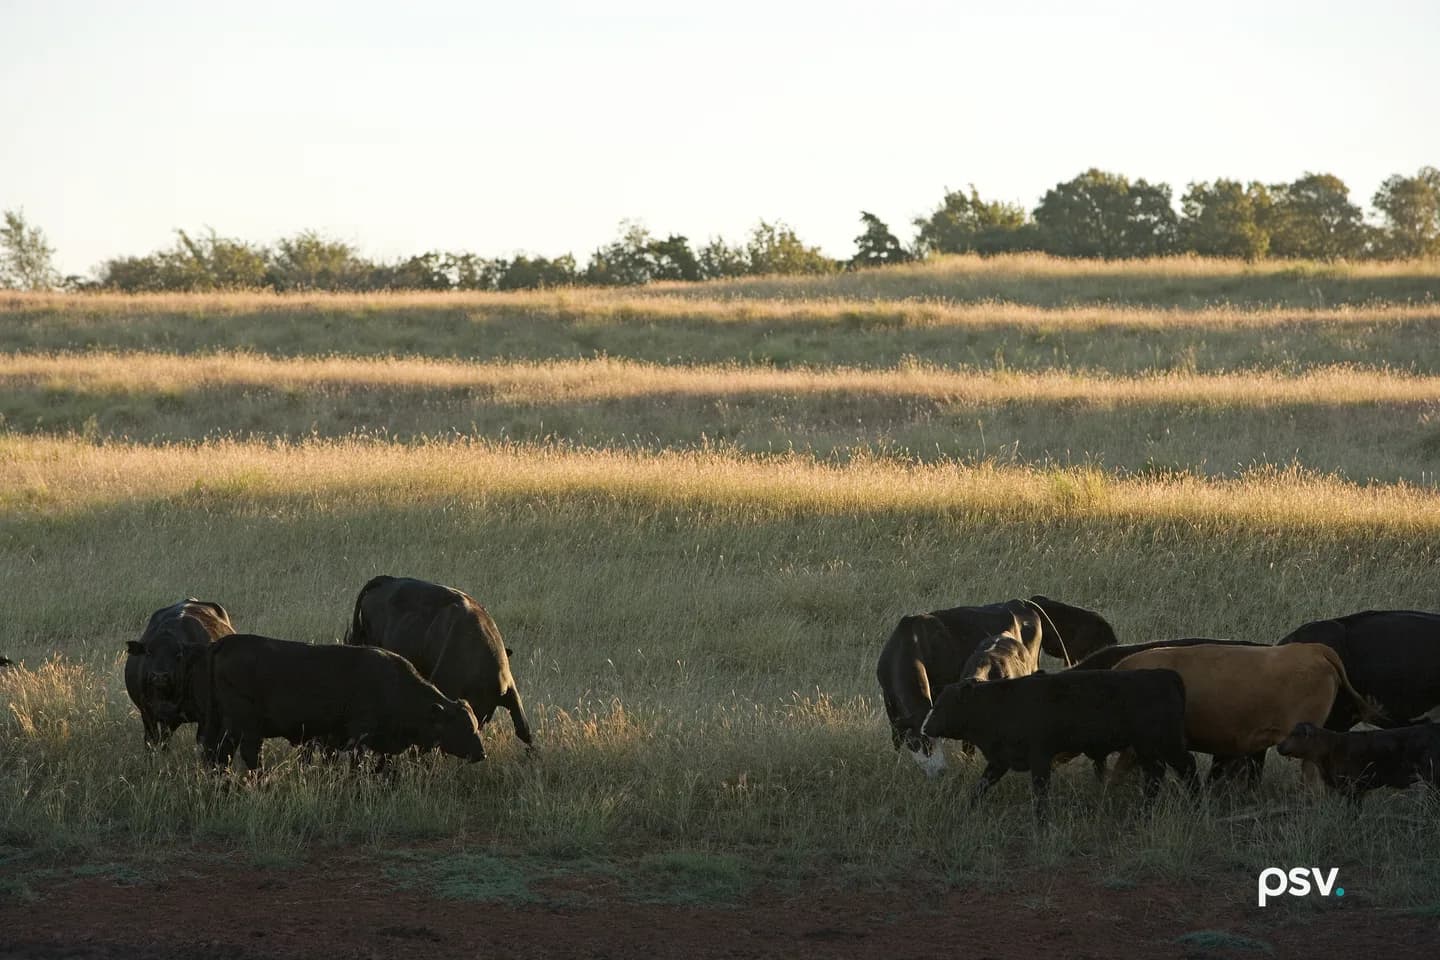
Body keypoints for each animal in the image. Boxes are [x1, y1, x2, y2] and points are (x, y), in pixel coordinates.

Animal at [124, 598, 235, 747]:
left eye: (178, 654)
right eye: (148, 653)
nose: (159, 676)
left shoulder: (205, 719)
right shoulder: (148, 714)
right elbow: (153, 741)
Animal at [195, 633, 488, 772]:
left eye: (474, 725)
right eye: (461, 728)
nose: (481, 753)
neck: (393, 684)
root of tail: (227, 643)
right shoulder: (360, 734)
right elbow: (356, 764)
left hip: (223, 724)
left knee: (216, 753)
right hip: (245, 726)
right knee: (244, 754)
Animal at [877, 596, 1117, 777]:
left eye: (935, 740)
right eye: (919, 743)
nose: (940, 772)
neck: (912, 644)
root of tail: (1022, 602)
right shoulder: (891, 707)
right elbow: (896, 740)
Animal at [921, 669, 1195, 824]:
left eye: (942, 704)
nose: (925, 728)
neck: (998, 705)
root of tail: (1165, 675)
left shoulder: (1040, 758)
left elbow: (1040, 791)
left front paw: (1041, 821)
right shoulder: (1001, 760)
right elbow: (981, 786)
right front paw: (968, 808)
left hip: (1161, 743)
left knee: (1180, 768)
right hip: (1150, 747)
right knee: (1160, 774)